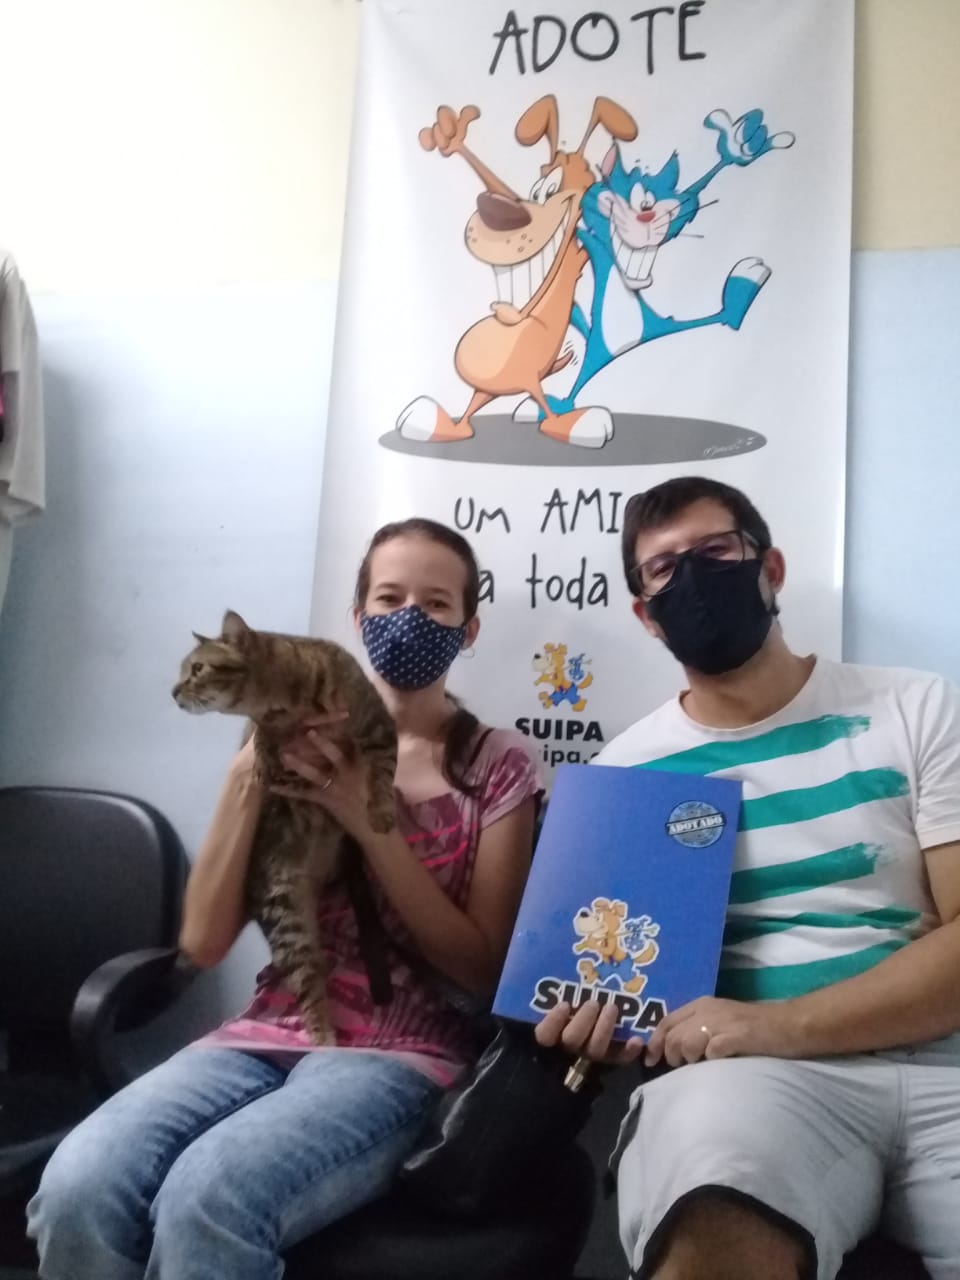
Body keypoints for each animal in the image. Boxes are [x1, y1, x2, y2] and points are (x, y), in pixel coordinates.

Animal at [172, 609, 398, 1046]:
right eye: (182, 671)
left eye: (197, 669)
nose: (173, 692)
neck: (286, 704)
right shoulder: (264, 727)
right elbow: (258, 735)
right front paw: (263, 757)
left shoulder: (379, 725)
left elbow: (381, 773)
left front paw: (380, 810)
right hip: (285, 917)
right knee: (310, 983)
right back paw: (323, 1037)